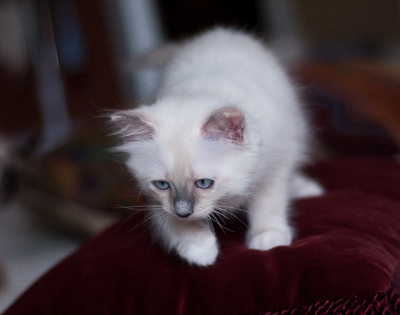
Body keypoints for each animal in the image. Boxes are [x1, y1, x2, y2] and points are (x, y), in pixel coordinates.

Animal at [109, 27, 322, 268]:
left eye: (204, 183)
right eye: (162, 185)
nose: (183, 211)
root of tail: (216, 33)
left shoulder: (274, 167)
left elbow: (269, 202)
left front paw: (268, 237)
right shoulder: (156, 202)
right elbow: (172, 222)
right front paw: (201, 250)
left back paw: (307, 189)